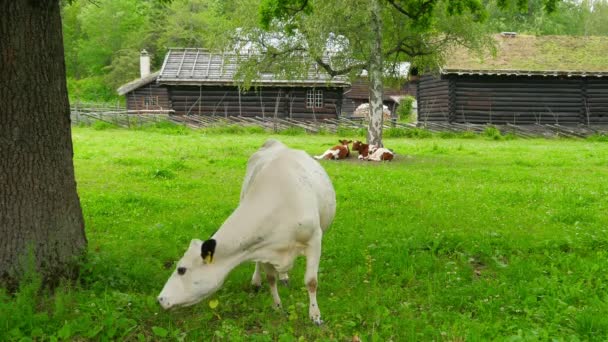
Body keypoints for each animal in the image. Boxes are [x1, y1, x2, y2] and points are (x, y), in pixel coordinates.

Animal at [157, 138, 338, 324]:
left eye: (181, 270)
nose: (160, 299)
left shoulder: (314, 240)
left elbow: (311, 281)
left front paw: (315, 316)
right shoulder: (264, 247)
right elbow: (270, 278)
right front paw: (277, 307)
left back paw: (284, 277)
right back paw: (258, 281)